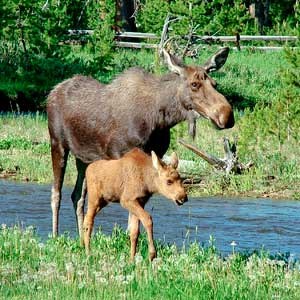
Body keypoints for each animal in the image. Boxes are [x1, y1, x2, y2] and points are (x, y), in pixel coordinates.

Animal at [47, 48, 234, 238]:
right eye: (194, 84)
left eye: (215, 83)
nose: (226, 115)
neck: (160, 119)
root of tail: (53, 91)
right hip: (57, 143)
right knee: (56, 193)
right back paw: (55, 236)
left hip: (84, 158)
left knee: (77, 196)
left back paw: (80, 237)